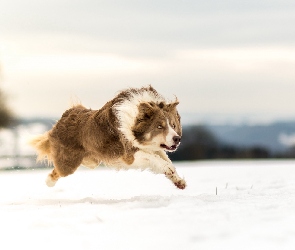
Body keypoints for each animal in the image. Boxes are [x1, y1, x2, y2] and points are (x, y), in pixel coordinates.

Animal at [30, 86, 187, 189]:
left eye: (173, 125)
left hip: (92, 161)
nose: (177, 139)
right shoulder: (129, 154)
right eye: (159, 126)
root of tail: (64, 117)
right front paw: (168, 168)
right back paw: (48, 182)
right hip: (68, 163)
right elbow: (155, 159)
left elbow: (164, 159)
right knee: (57, 171)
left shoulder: (153, 148)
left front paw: (178, 180)